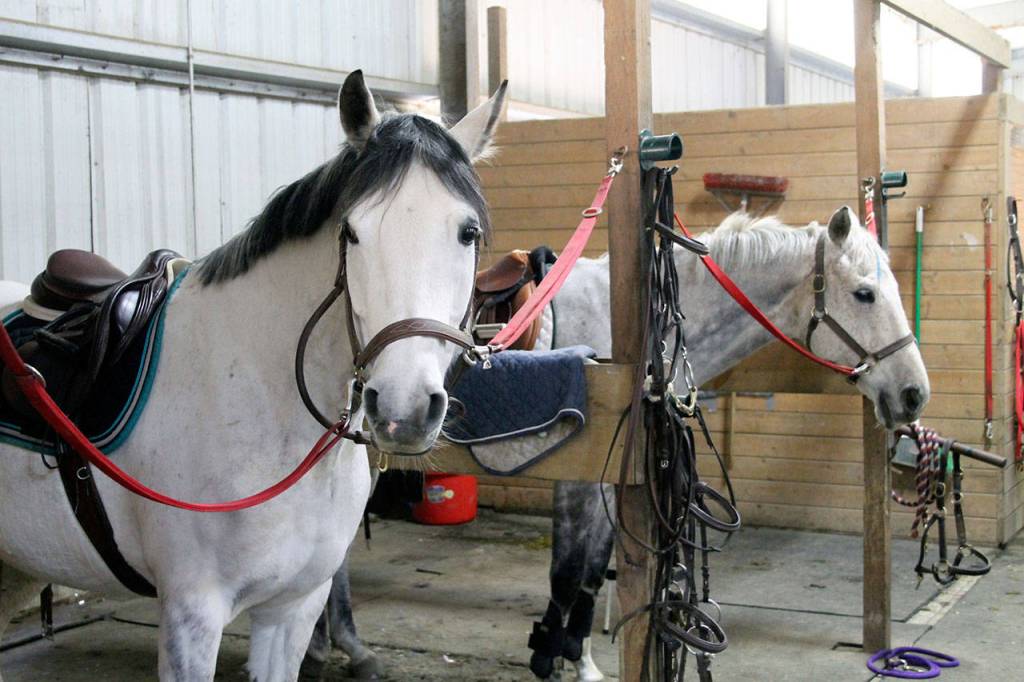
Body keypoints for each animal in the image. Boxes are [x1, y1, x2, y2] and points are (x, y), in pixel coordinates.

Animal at [0, 70, 507, 682]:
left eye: (468, 233)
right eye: (352, 232)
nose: (402, 410)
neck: (260, 404)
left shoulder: (293, 608)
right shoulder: (191, 616)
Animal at [311, 206, 931, 681]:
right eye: (865, 294)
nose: (914, 394)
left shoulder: (612, 480)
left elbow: (590, 571)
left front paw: (577, 660)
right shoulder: (578, 474)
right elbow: (566, 572)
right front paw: (548, 659)